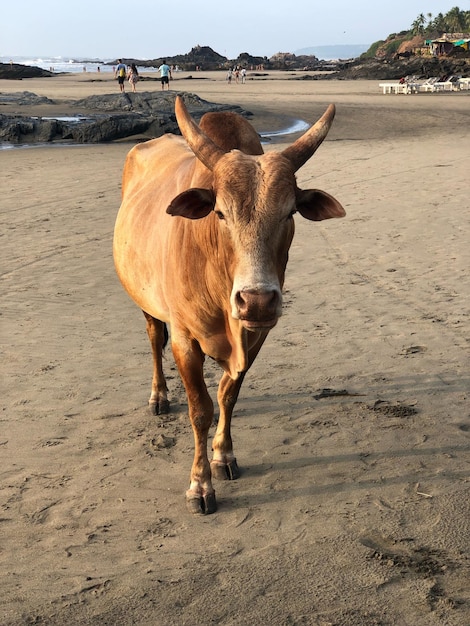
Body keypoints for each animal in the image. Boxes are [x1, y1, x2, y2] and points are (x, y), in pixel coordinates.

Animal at [112, 96, 344, 512]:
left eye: (290, 212)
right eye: (219, 212)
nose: (257, 301)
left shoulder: (255, 337)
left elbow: (227, 395)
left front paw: (224, 456)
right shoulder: (185, 341)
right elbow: (200, 409)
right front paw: (200, 484)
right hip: (144, 300)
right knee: (154, 338)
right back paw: (158, 396)